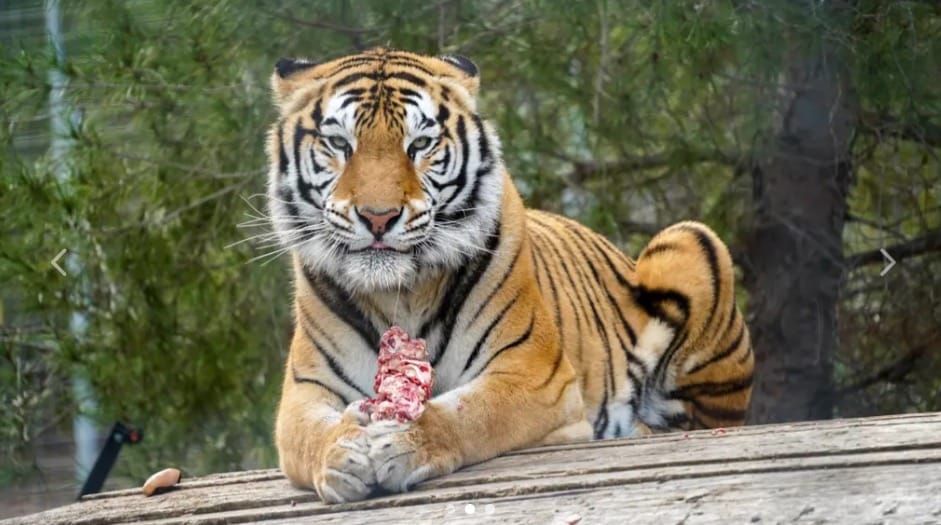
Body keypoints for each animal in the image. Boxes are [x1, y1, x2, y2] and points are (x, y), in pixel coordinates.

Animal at [267, 47, 754, 503]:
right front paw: (342, 452)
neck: (398, 293)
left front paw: (406, 442)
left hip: (690, 240)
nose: (378, 217)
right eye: (339, 143)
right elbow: (310, 435)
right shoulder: (305, 393)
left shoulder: (533, 374)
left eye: (419, 145)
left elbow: (470, 413)